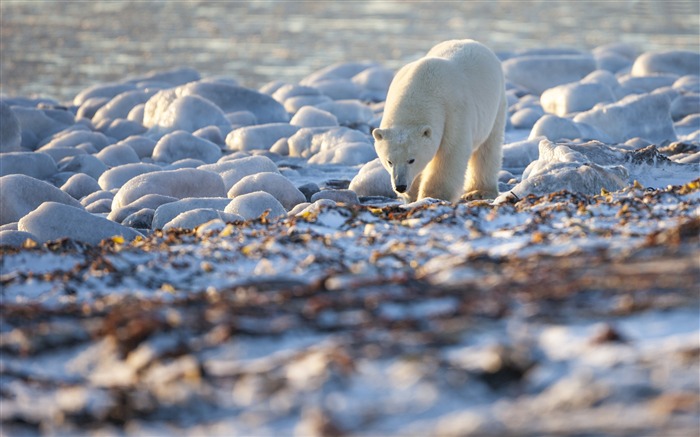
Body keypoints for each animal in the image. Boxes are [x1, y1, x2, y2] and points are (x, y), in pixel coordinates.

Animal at [372, 38, 508, 202]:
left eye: (411, 160)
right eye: (389, 161)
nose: (400, 186)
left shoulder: (454, 112)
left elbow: (450, 154)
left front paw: (433, 195)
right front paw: (412, 193)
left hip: (496, 104)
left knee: (488, 148)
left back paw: (480, 191)